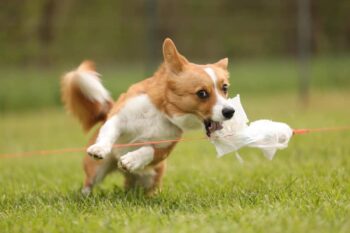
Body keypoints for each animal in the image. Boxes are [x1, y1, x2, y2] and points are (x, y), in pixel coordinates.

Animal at [60, 38, 235, 195]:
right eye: (202, 93)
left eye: (225, 88)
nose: (230, 111)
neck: (162, 113)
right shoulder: (118, 119)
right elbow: (110, 132)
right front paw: (100, 148)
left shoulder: (163, 149)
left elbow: (148, 149)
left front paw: (131, 160)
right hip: (96, 169)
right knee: (89, 183)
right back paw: (85, 196)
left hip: (152, 176)